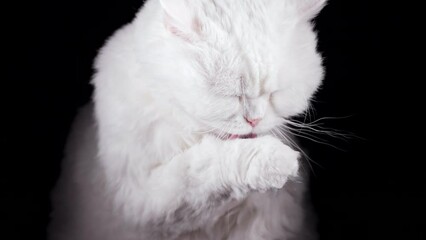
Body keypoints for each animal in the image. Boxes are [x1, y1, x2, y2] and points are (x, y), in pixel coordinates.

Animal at [48, 0, 326, 239]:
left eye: (275, 94)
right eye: (232, 96)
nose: (254, 120)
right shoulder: (141, 199)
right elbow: (209, 165)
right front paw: (279, 162)